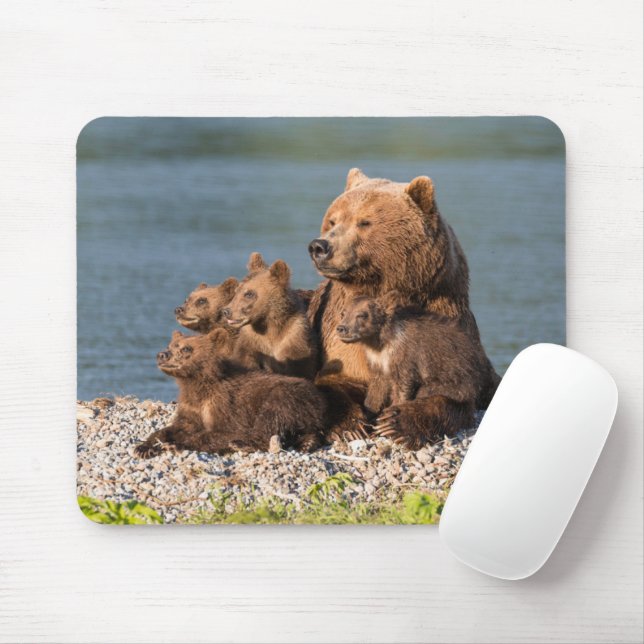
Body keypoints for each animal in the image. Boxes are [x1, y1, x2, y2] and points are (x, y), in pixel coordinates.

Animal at [134, 328, 328, 458]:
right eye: (171, 345)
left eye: (186, 348)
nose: (162, 355)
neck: (197, 383)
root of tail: (319, 397)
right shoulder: (192, 406)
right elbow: (177, 426)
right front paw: (144, 447)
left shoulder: (226, 404)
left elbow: (224, 431)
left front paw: (176, 445)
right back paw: (306, 443)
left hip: (287, 396)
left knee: (271, 420)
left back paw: (241, 444)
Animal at [336, 292, 490, 447]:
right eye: (343, 312)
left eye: (362, 315)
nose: (341, 328)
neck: (380, 341)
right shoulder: (378, 362)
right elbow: (376, 389)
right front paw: (367, 417)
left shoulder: (406, 357)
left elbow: (402, 386)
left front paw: (387, 418)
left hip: (456, 381)